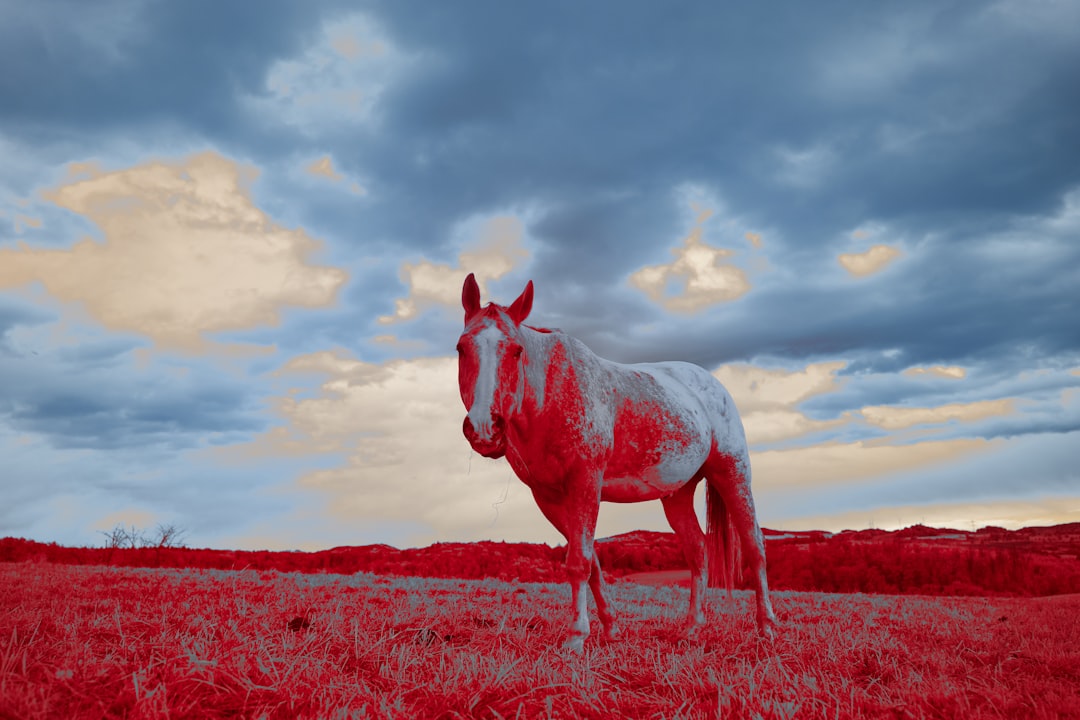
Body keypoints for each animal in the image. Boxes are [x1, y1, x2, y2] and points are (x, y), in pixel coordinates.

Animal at [455, 273, 777, 651]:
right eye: (461, 348)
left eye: (516, 351)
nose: (484, 429)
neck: (550, 395)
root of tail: (712, 384)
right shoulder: (548, 497)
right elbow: (590, 561)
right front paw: (610, 628)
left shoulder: (585, 484)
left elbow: (579, 562)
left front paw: (576, 637)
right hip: (677, 494)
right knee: (698, 551)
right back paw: (692, 628)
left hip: (732, 474)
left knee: (755, 547)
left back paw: (767, 627)